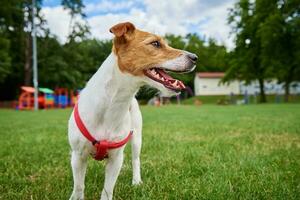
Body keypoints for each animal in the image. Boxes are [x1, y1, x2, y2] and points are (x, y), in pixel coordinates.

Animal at [69, 22, 198, 200]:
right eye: (155, 43)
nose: (195, 57)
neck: (112, 104)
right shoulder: (77, 156)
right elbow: (79, 187)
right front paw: (76, 195)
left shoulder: (116, 158)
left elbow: (107, 191)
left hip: (137, 138)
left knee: (136, 160)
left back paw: (136, 181)